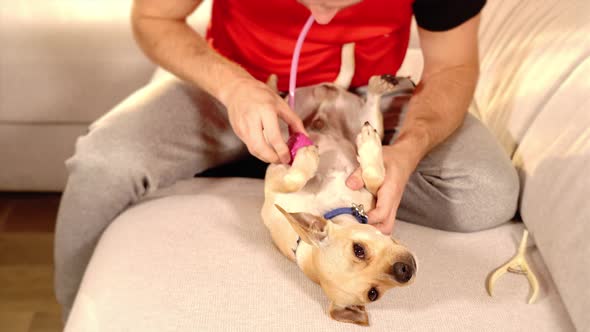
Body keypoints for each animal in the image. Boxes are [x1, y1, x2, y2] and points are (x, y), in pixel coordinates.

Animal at [262, 43, 418, 324]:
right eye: (373, 294)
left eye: (359, 250)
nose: (404, 271)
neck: (329, 209)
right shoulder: (274, 182)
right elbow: (294, 178)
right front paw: (309, 157)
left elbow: (375, 177)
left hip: (297, 114)